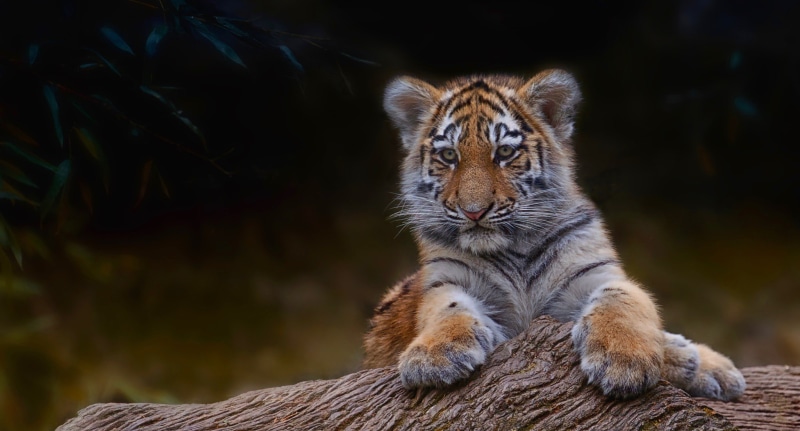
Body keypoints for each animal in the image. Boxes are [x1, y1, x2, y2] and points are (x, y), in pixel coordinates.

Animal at [361, 69, 746, 401]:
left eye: (504, 152)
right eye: (448, 155)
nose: (474, 211)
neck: (515, 248)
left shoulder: (594, 271)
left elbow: (623, 298)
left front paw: (624, 359)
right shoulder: (446, 281)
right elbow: (447, 309)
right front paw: (434, 357)